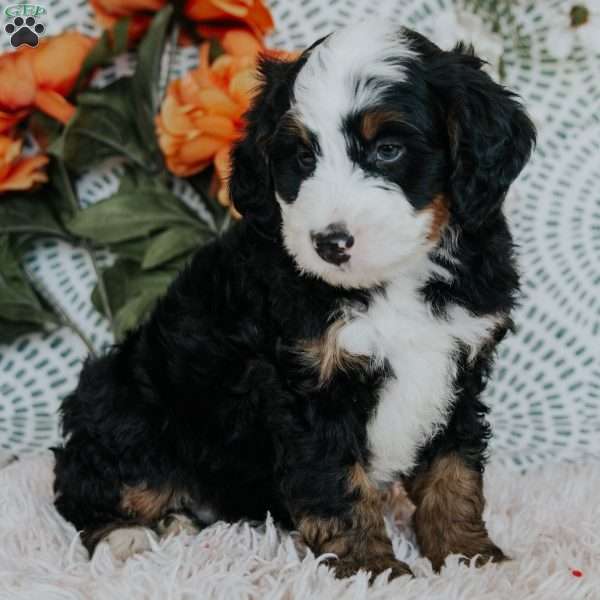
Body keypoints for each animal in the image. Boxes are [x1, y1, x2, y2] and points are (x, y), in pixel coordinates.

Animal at [54, 21, 536, 580]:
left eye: (388, 151)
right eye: (303, 158)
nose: (330, 242)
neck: (394, 281)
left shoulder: (459, 365)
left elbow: (453, 471)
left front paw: (467, 558)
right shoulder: (308, 385)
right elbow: (338, 484)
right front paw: (372, 569)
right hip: (126, 405)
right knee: (89, 484)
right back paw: (127, 537)